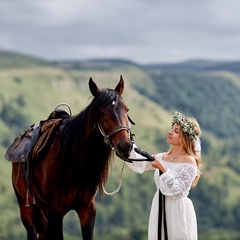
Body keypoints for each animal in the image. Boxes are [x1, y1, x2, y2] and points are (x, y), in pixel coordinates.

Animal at [10, 77, 133, 240]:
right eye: (101, 112)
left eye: (126, 109)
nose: (125, 146)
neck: (74, 162)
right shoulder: (56, 212)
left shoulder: (87, 209)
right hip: (26, 208)